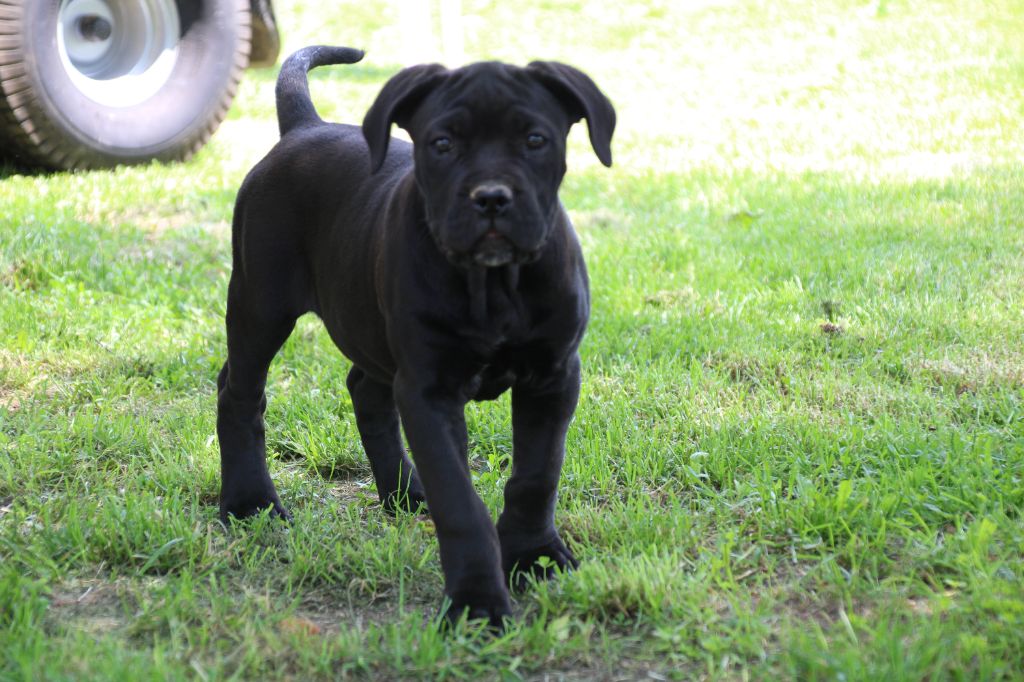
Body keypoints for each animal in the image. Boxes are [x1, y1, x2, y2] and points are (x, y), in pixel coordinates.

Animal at [216, 45, 614, 627]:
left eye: (535, 140)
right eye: (442, 144)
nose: (490, 198)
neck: (493, 284)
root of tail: (304, 127)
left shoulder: (553, 376)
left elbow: (537, 477)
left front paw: (534, 556)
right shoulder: (429, 390)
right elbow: (459, 499)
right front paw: (477, 602)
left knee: (364, 388)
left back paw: (403, 493)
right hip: (260, 301)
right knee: (240, 393)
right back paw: (250, 503)